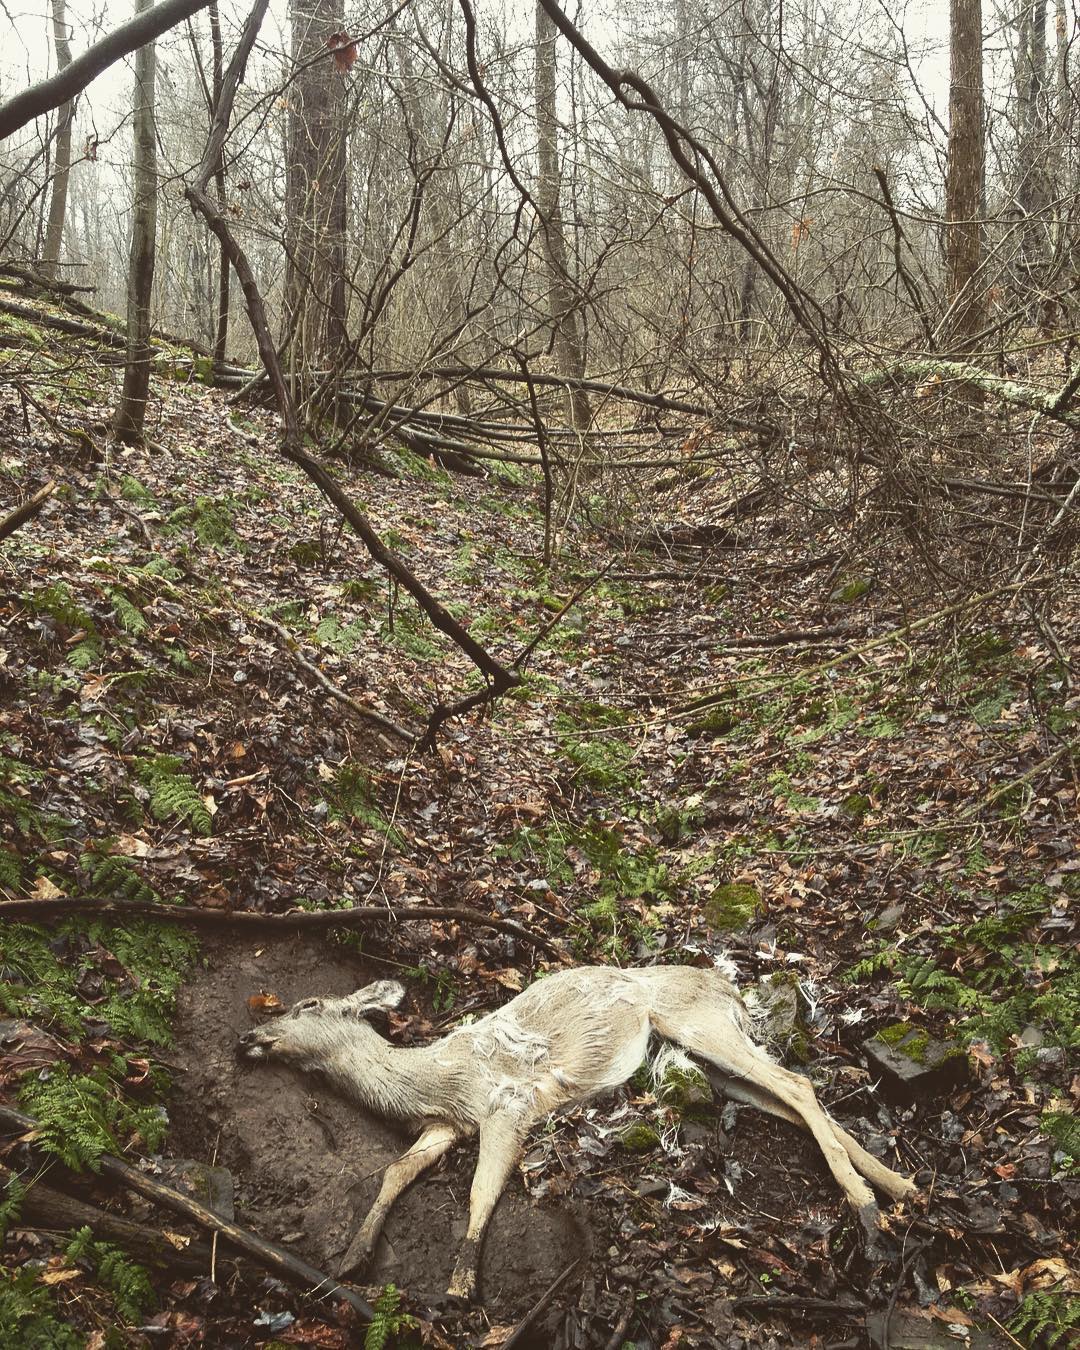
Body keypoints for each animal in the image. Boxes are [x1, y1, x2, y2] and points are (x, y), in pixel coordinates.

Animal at [237, 963, 916, 1303]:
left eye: (307, 1006)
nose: (247, 1037)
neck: (433, 1082)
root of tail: (729, 985)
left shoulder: (507, 1106)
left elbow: (482, 1190)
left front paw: (461, 1285)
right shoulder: (443, 1127)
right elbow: (396, 1170)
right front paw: (353, 1257)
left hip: (696, 1022)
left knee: (798, 1085)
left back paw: (868, 1212)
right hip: (713, 1062)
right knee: (795, 1101)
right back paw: (900, 1188)